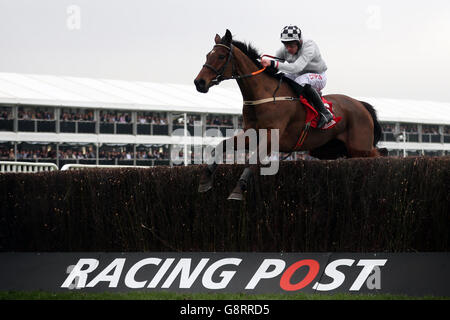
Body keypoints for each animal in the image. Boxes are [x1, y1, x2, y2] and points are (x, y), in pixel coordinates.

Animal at [193, 30, 380, 200]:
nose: (199, 82)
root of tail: (361, 105)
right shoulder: (252, 133)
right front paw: (205, 180)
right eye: (208, 55)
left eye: (221, 56)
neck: (263, 95)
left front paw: (238, 189)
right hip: (328, 150)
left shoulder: (272, 135)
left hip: (359, 148)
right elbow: (221, 145)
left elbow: (253, 159)